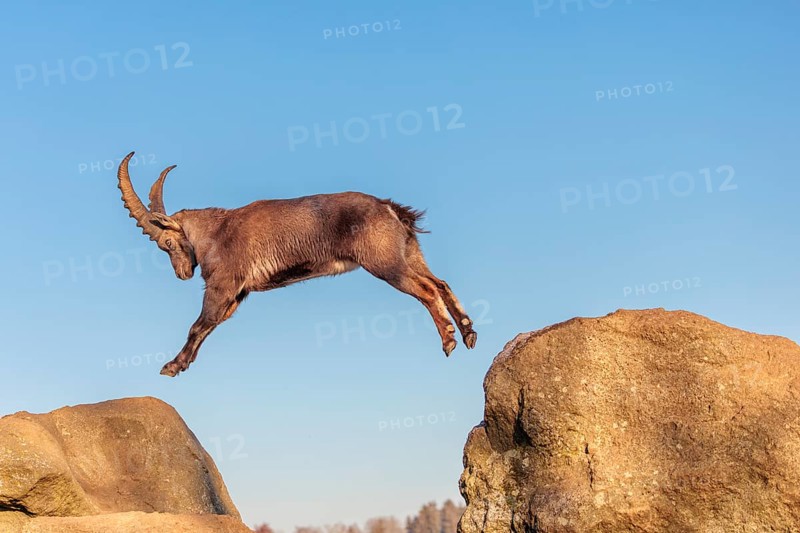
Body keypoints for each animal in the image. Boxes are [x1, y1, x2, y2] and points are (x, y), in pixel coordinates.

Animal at [116, 152, 477, 376]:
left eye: (166, 243)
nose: (182, 274)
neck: (216, 232)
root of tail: (389, 208)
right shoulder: (237, 295)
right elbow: (208, 326)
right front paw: (183, 364)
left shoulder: (223, 285)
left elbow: (198, 324)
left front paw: (171, 366)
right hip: (408, 253)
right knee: (440, 282)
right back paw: (468, 332)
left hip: (385, 262)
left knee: (427, 289)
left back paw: (449, 340)